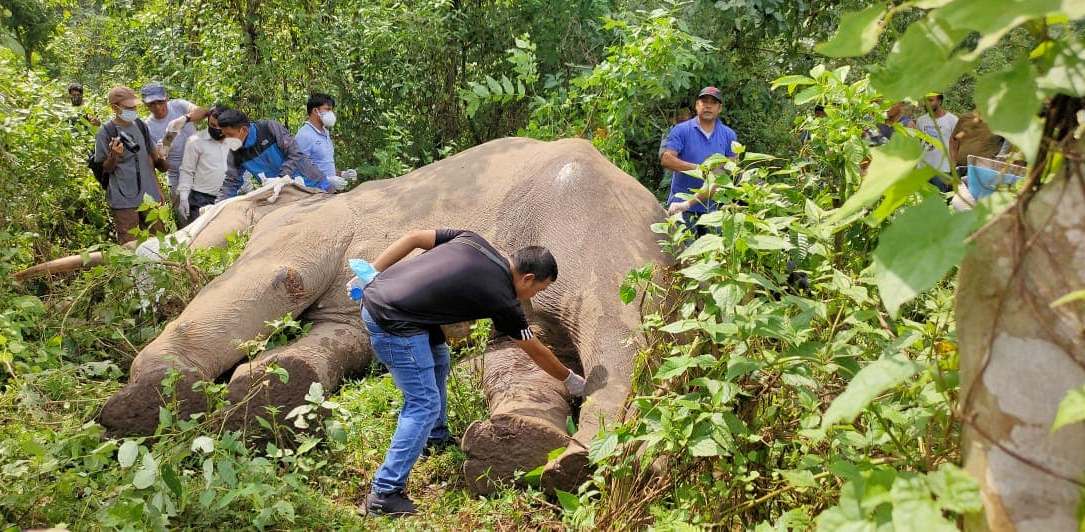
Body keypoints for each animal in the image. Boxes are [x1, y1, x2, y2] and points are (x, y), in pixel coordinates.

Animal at [59, 138, 668, 495]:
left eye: (210, 213)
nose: (148, 253)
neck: (298, 198)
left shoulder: (303, 233)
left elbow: (276, 278)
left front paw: (144, 404)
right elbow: (337, 336)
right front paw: (273, 394)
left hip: (598, 241)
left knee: (604, 334)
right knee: (519, 352)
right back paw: (536, 451)